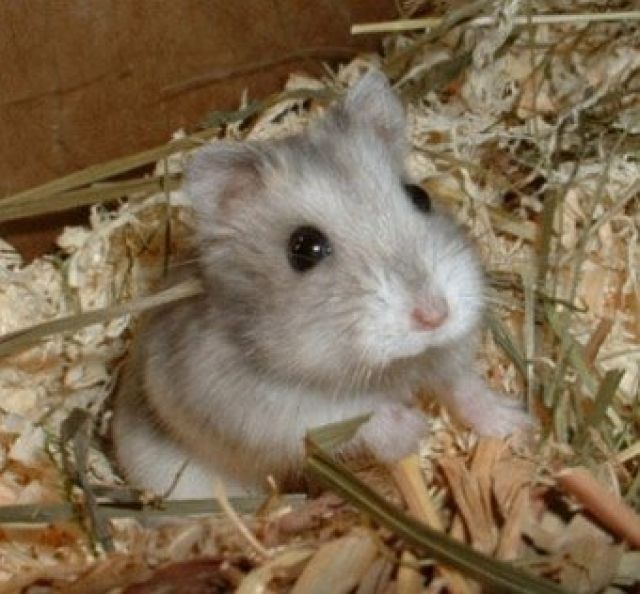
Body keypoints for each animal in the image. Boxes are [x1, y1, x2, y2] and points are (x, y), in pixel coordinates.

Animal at [112, 70, 532, 499]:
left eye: (420, 196)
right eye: (304, 248)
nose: (434, 316)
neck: (393, 367)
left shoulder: (446, 354)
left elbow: (463, 385)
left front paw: (515, 420)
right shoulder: (264, 408)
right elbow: (351, 417)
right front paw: (413, 431)